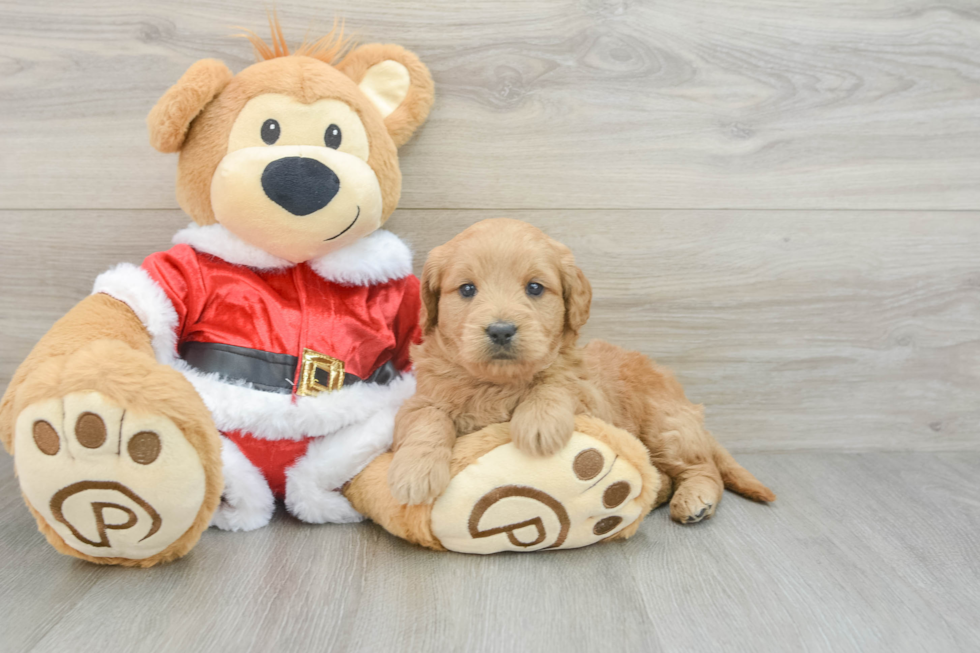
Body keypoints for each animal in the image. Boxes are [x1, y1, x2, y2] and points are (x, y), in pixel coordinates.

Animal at [386, 216, 776, 524]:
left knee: (703, 467)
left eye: (534, 287)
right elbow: (426, 418)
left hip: (666, 427)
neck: (498, 383)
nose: (501, 330)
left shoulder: (590, 399)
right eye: (467, 289)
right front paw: (415, 472)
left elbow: (557, 382)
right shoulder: (421, 398)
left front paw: (538, 423)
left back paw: (695, 499)